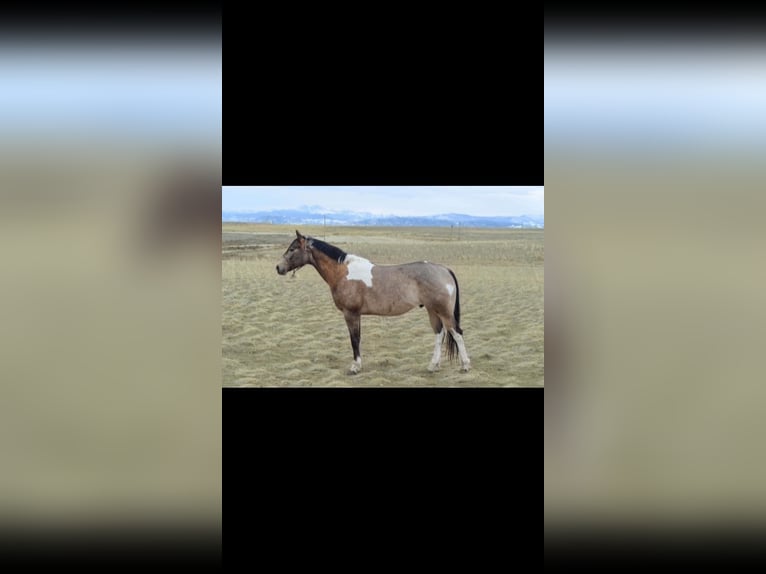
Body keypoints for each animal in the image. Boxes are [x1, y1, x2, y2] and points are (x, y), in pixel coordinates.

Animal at [276, 230, 471, 374]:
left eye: (293, 248)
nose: (279, 268)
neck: (343, 273)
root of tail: (444, 269)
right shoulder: (357, 315)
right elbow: (358, 338)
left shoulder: (350, 314)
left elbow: (354, 339)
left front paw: (355, 367)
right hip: (432, 310)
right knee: (439, 333)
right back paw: (433, 366)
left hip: (443, 311)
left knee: (456, 333)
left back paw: (465, 365)